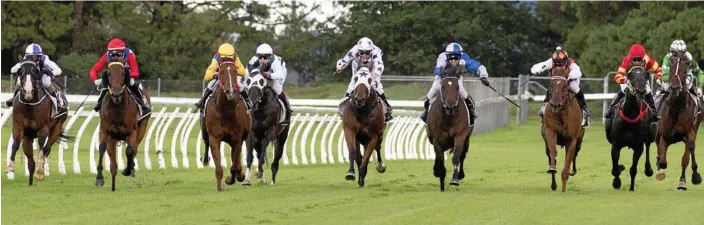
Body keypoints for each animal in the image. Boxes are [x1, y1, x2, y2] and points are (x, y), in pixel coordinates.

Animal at [95, 61, 151, 192]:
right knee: (113, 159)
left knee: (134, 148)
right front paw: (99, 177)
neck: (117, 108)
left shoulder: (132, 132)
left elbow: (130, 150)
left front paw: (127, 170)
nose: (116, 94)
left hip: (142, 128)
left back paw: (131, 169)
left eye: (123, 74)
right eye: (109, 74)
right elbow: (102, 148)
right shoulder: (105, 130)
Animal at [199, 58, 252, 192]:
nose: (231, 91)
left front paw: (234, 177)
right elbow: (218, 167)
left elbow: (235, 166)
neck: (226, 111)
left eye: (235, 71)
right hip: (205, 131)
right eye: (221, 72)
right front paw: (219, 187)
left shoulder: (237, 138)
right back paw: (205, 160)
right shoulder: (215, 138)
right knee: (206, 142)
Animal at [540, 64, 584, 192]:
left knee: (575, 155)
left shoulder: (572, 139)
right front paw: (552, 169)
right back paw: (554, 184)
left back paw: (572, 171)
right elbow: (553, 153)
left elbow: (568, 159)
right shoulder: (550, 131)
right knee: (550, 155)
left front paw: (564, 186)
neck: (561, 115)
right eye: (551, 85)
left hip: (579, 140)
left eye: (565, 86)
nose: (555, 105)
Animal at [652, 54, 700, 190]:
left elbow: (688, 153)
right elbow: (662, 161)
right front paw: (660, 171)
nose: (674, 88)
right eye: (671, 70)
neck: (677, 107)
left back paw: (683, 181)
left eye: (684, 71)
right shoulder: (664, 134)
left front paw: (695, 176)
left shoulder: (690, 132)